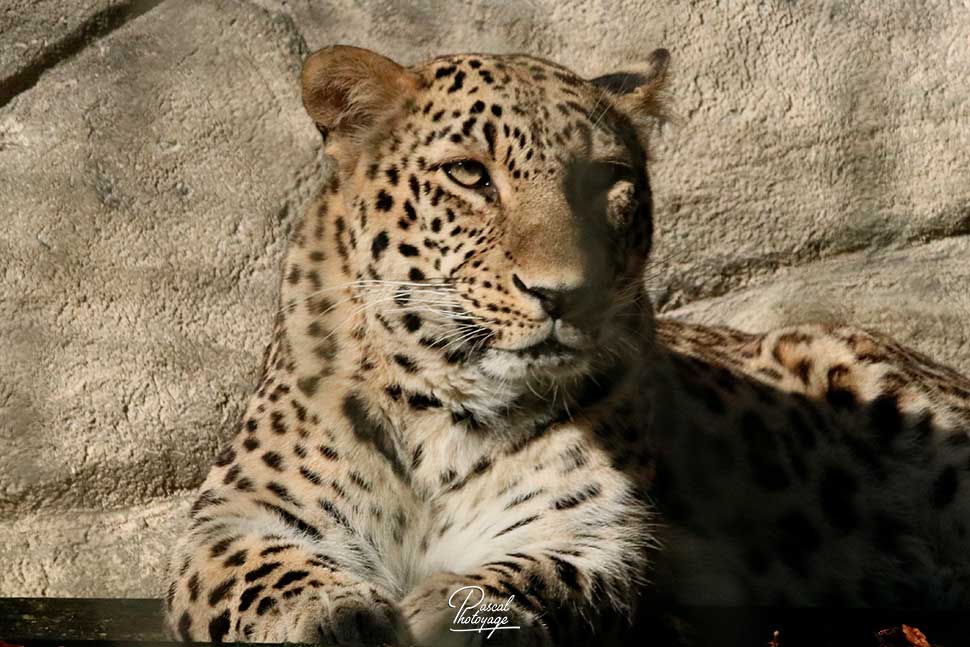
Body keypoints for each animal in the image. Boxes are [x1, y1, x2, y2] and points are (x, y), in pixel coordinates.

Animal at [166, 43, 968, 644]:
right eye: (469, 174)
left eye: (605, 180)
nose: (563, 293)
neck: (439, 416)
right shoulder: (235, 516)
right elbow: (261, 570)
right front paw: (335, 615)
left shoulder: (599, 532)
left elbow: (539, 575)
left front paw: (448, 610)